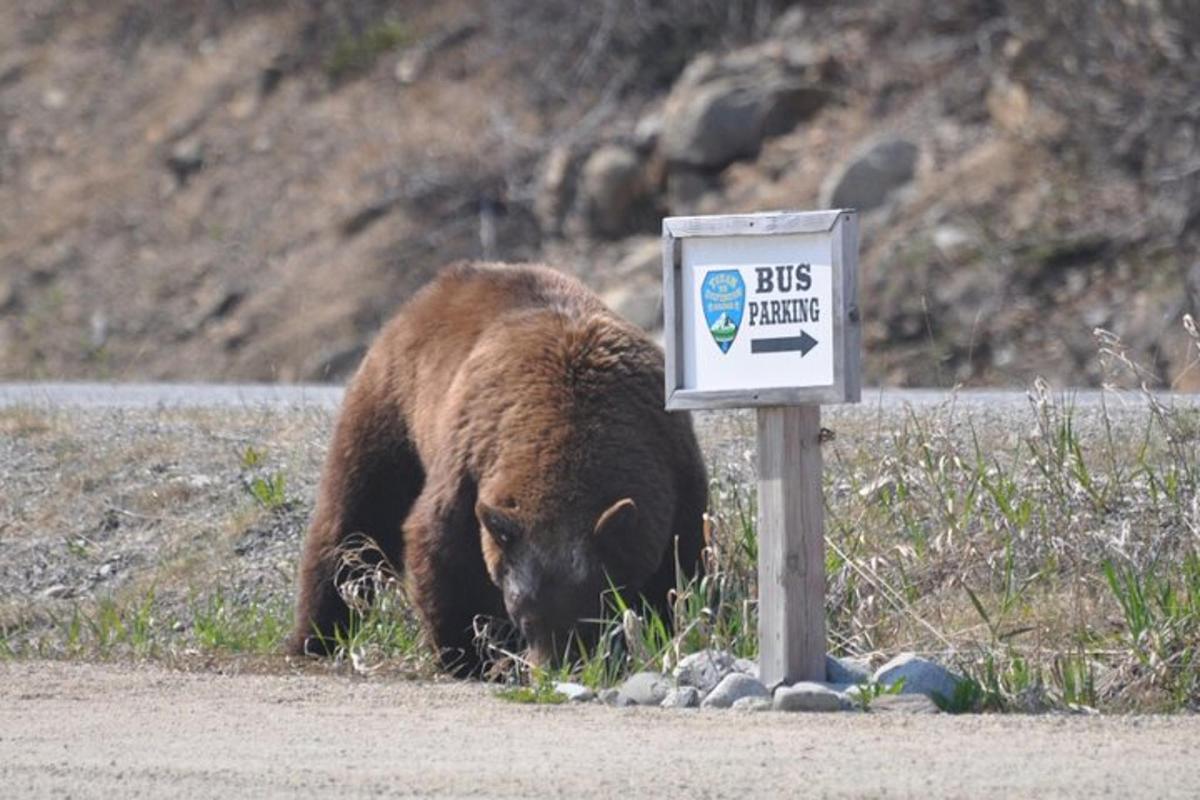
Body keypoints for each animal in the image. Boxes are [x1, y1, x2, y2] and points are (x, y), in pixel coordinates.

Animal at [289, 263, 705, 676]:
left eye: (590, 617)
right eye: (525, 617)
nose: (552, 669)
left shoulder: (675, 470)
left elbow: (682, 563)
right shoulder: (470, 466)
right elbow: (439, 547)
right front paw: (466, 655)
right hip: (390, 410)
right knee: (355, 520)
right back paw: (315, 637)